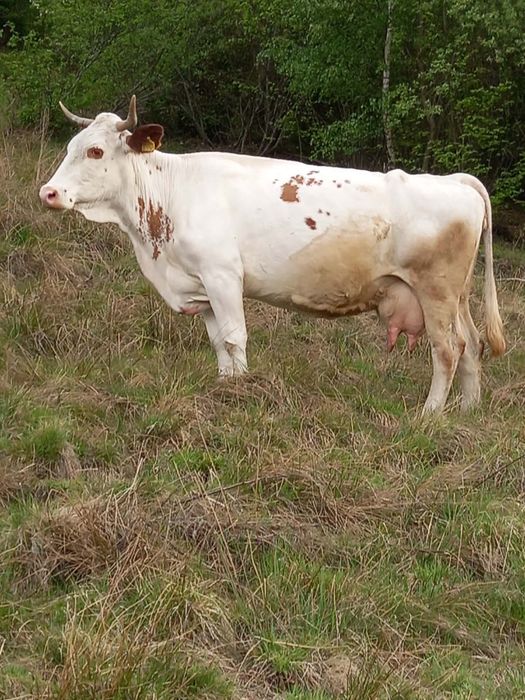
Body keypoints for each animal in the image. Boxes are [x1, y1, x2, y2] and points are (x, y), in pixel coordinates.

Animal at [39, 96, 505, 414]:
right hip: (457, 297)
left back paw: (430, 414)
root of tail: (454, 180)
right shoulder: (201, 285)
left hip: (436, 293)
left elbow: (234, 337)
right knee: (473, 343)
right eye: (70, 147)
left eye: (96, 151)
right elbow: (218, 343)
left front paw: (242, 391)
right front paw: (225, 385)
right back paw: (466, 410)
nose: (49, 192)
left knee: (448, 348)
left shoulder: (223, 276)